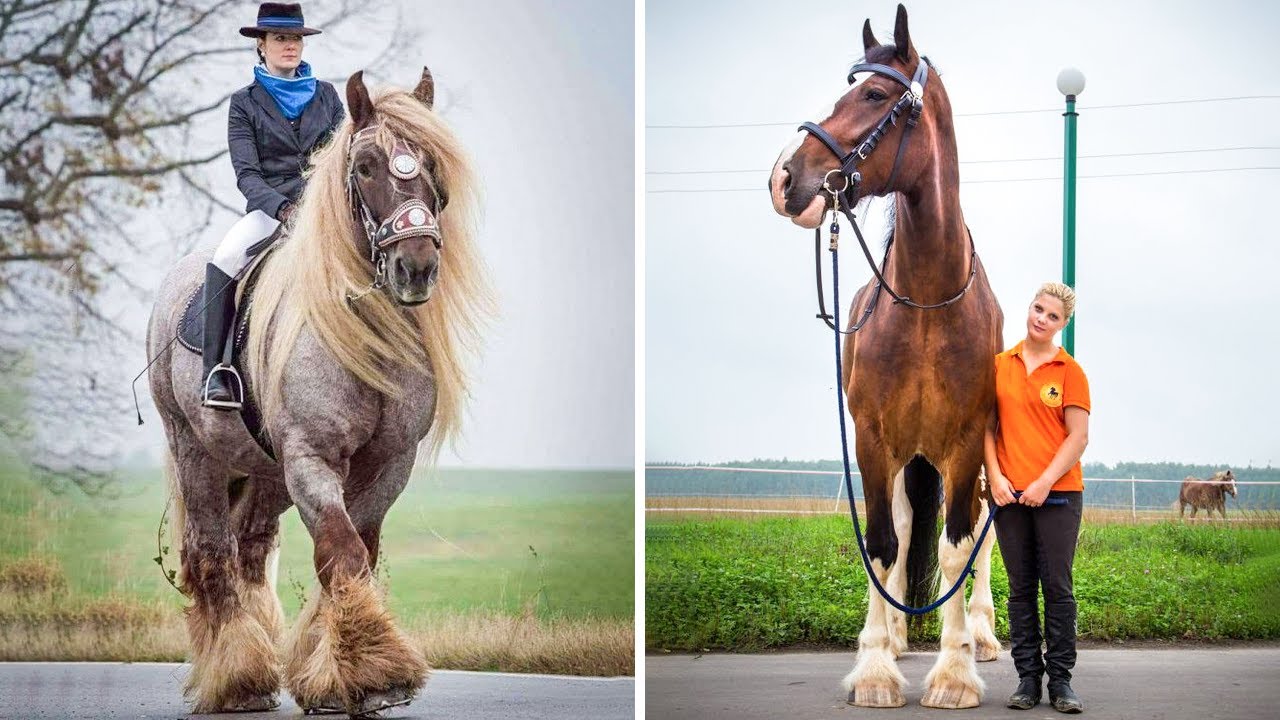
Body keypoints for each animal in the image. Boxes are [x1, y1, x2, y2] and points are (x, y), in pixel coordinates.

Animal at [146, 68, 491, 715]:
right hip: (196, 453)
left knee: (251, 550)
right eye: (366, 167)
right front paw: (374, 672)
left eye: (433, 163)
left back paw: (255, 666)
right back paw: (236, 678)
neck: (363, 334)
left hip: (266, 475)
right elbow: (343, 553)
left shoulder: (387, 464)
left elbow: (357, 553)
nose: (416, 267)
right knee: (212, 554)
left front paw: (335, 671)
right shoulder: (312, 458)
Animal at [768, 5, 1003, 709]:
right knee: (899, 529)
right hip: (903, 455)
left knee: (982, 538)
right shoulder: (872, 438)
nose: (785, 177)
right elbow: (880, 545)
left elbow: (956, 549)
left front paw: (954, 672)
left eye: (874, 94)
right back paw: (898, 634)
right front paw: (875, 666)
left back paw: (983, 634)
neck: (926, 300)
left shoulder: (966, 442)